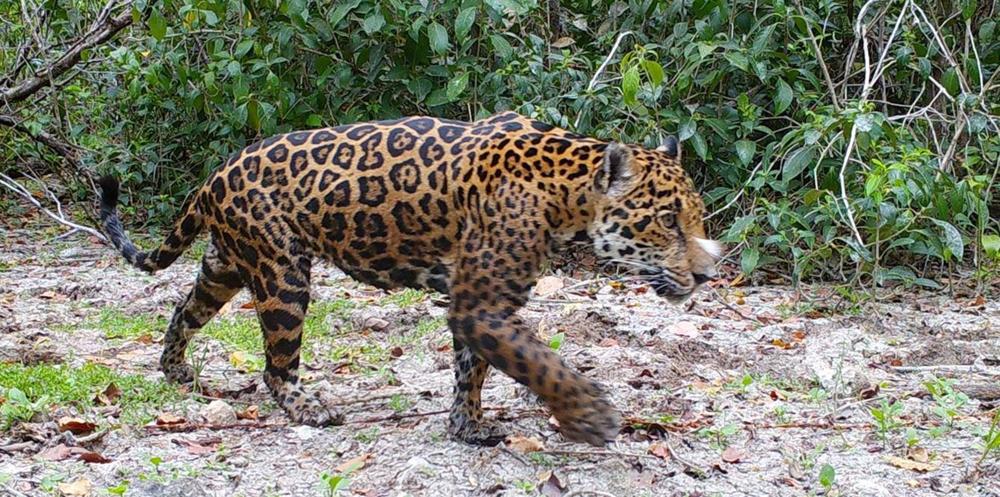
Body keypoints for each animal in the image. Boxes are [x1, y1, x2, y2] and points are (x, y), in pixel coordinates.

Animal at [96, 111, 722, 447]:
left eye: (695, 218)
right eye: (668, 221)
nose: (707, 273)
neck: (567, 193)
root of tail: (215, 174)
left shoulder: (478, 301)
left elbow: (473, 368)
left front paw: (467, 426)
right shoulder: (481, 305)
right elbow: (539, 362)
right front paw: (589, 416)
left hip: (226, 264)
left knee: (184, 309)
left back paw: (174, 368)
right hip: (282, 271)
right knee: (276, 366)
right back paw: (308, 407)